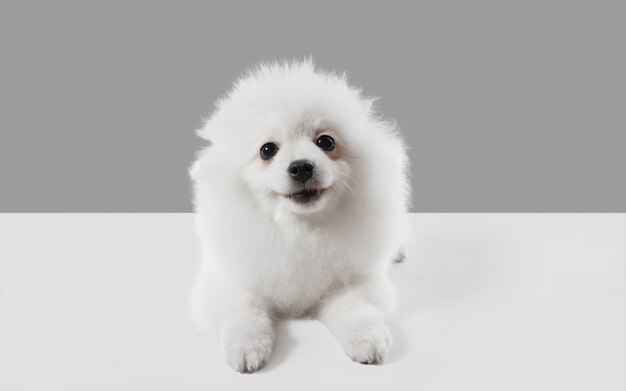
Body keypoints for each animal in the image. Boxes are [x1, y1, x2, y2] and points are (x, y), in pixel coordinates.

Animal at [188, 59, 408, 374]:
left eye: (326, 142)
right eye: (268, 150)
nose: (301, 167)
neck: (299, 229)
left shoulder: (353, 276)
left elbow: (355, 306)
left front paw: (366, 339)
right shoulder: (231, 276)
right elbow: (243, 307)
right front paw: (246, 345)